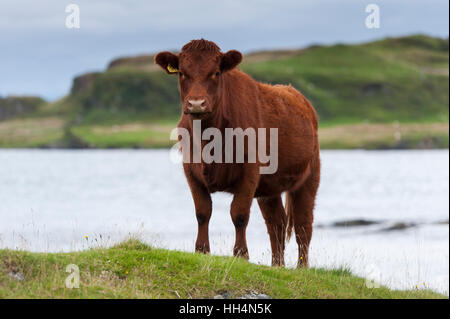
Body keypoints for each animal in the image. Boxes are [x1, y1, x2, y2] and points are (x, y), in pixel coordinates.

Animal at [155, 39, 320, 268]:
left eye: (216, 72)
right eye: (181, 73)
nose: (196, 104)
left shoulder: (249, 172)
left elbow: (239, 214)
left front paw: (241, 254)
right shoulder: (191, 171)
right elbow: (202, 212)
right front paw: (201, 250)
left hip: (309, 176)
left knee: (303, 224)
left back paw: (301, 268)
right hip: (270, 187)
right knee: (276, 223)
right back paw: (277, 266)